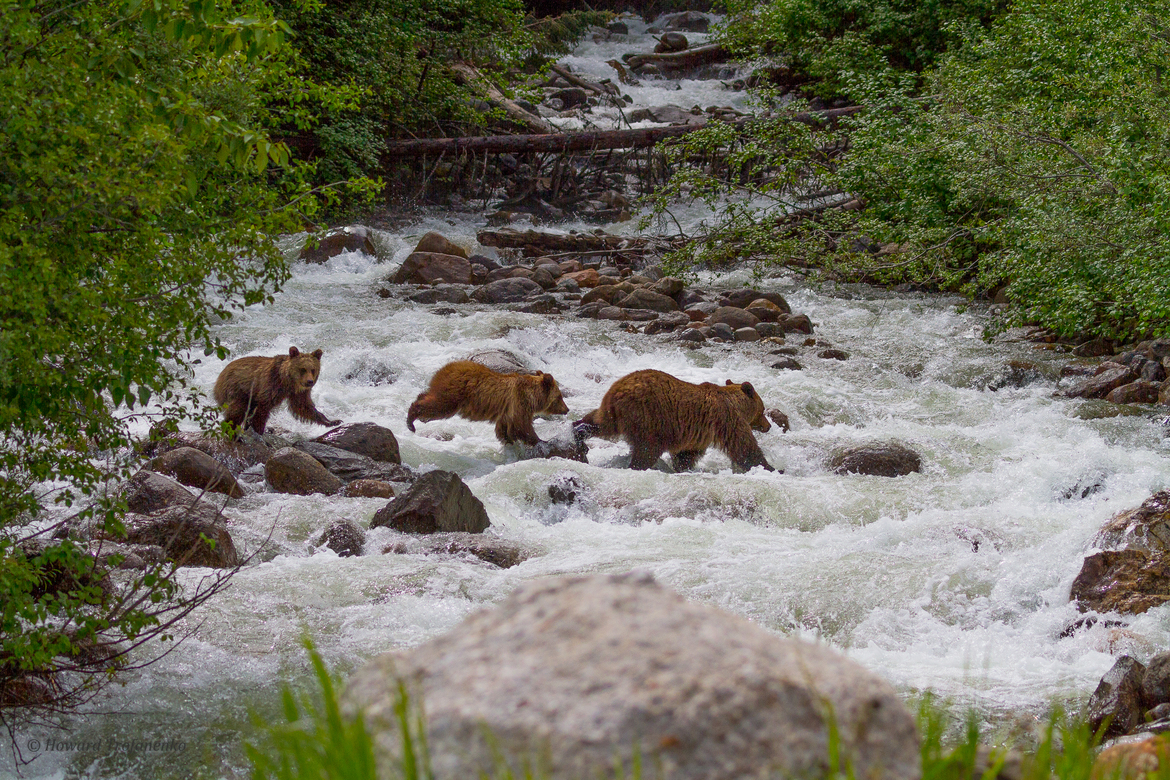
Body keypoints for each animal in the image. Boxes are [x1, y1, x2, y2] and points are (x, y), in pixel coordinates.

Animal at [406, 361, 569, 446]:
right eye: (560, 396)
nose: (567, 409)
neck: (533, 397)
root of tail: (443, 369)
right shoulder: (519, 403)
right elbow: (523, 426)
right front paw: (541, 440)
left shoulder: (507, 410)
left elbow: (504, 427)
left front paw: (507, 439)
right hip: (454, 393)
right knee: (438, 406)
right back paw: (411, 421)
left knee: (429, 396)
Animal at [572, 369, 775, 473]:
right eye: (763, 410)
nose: (768, 425)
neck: (736, 404)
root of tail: (618, 389)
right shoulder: (726, 419)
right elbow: (743, 445)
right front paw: (769, 467)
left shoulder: (698, 433)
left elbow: (687, 454)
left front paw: (681, 466)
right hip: (649, 417)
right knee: (647, 449)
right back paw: (637, 466)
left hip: (612, 413)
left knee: (599, 423)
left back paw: (577, 431)